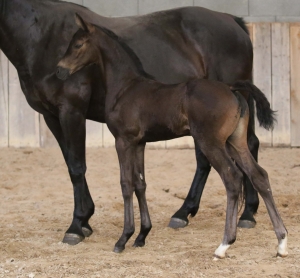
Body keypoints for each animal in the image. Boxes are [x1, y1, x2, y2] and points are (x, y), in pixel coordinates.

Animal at [0, 0, 258, 243]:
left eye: (77, 45)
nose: (61, 71)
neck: (40, 35)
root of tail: (234, 22)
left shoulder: (71, 111)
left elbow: (77, 166)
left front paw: (76, 225)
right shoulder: (51, 116)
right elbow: (71, 165)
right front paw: (85, 219)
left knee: (245, 148)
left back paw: (245, 214)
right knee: (219, 157)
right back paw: (186, 213)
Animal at [56, 14, 288, 258]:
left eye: (78, 44)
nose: (59, 71)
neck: (126, 87)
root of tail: (232, 89)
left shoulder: (123, 141)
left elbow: (126, 184)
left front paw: (123, 238)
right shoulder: (139, 143)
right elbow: (140, 184)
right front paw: (142, 236)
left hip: (212, 143)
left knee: (232, 178)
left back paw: (224, 244)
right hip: (234, 142)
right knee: (259, 175)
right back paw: (281, 242)